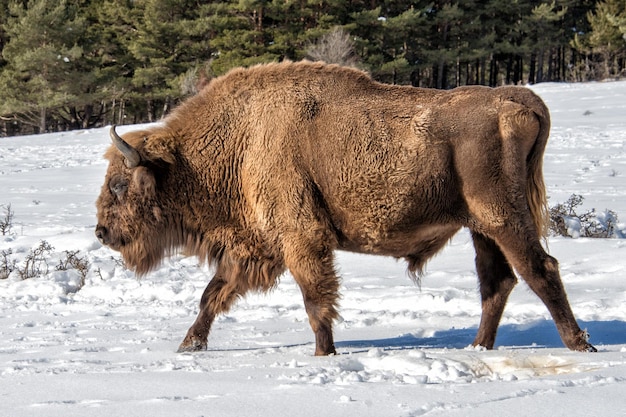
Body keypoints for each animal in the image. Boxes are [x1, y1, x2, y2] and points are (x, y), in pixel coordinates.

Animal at [94, 61, 596, 354]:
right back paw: (479, 348)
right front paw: (188, 346)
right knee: (498, 282)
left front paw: (324, 355)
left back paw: (578, 345)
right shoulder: (254, 247)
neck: (239, 140)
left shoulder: (302, 239)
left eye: (119, 185)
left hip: (503, 218)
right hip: (480, 228)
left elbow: (316, 300)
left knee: (539, 269)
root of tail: (515, 99)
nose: (101, 232)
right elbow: (213, 294)